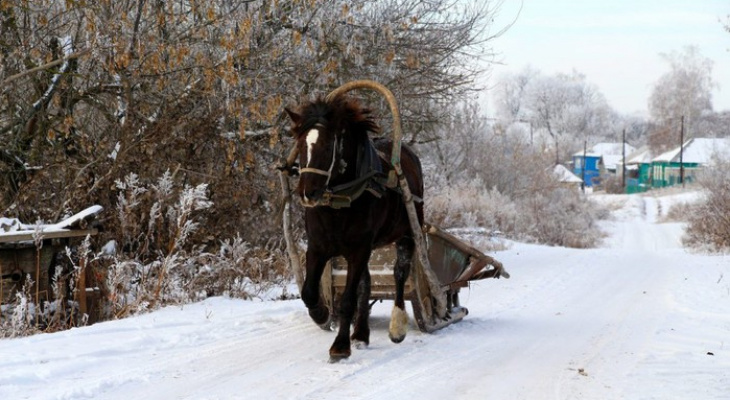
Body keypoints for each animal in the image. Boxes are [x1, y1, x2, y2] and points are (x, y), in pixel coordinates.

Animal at [282, 94, 424, 362]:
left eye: (328, 145)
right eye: (301, 144)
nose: (307, 193)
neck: (341, 201)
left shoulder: (359, 249)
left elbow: (349, 299)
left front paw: (340, 346)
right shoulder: (318, 247)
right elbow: (309, 292)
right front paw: (321, 314)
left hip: (408, 231)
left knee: (400, 272)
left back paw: (397, 326)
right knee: (366, 283)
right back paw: (360, 334)